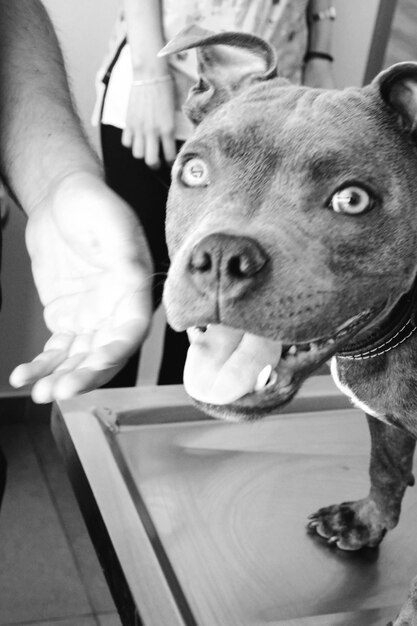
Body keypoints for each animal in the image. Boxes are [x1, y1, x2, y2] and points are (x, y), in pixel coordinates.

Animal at [160, 25, 417, 624]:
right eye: (194, 170)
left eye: (353, 199)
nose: (223, 256)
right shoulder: (386, 420)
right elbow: (385, 468)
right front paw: (365, 524)